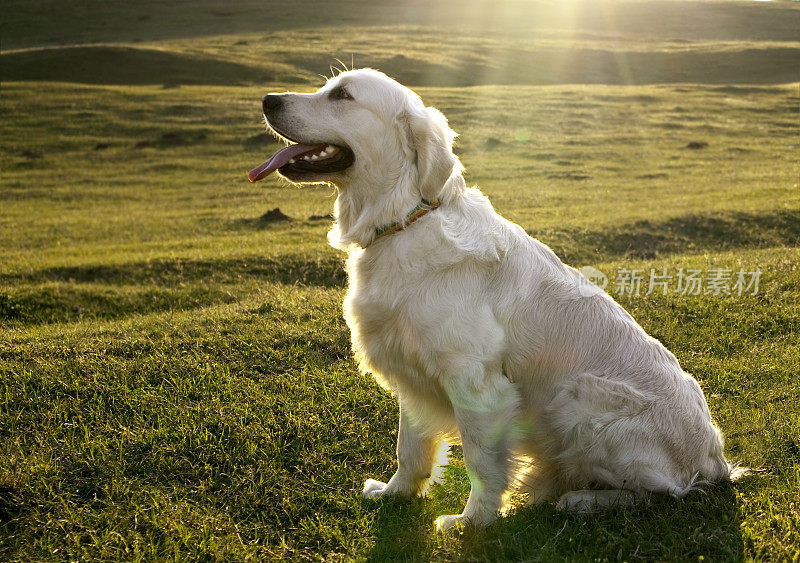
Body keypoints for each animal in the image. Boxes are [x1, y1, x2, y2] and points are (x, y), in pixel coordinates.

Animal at [247, 68, 736, 532]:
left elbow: (481, 461)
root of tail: (716, 459)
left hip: (580, 398)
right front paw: (395, 493)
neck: (405, 219)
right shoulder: (410, 369)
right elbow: (411, 446)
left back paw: (582, 499)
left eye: (343, 95)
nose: (267, 100)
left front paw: (472, 522)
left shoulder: (477, 384)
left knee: (661, 493)